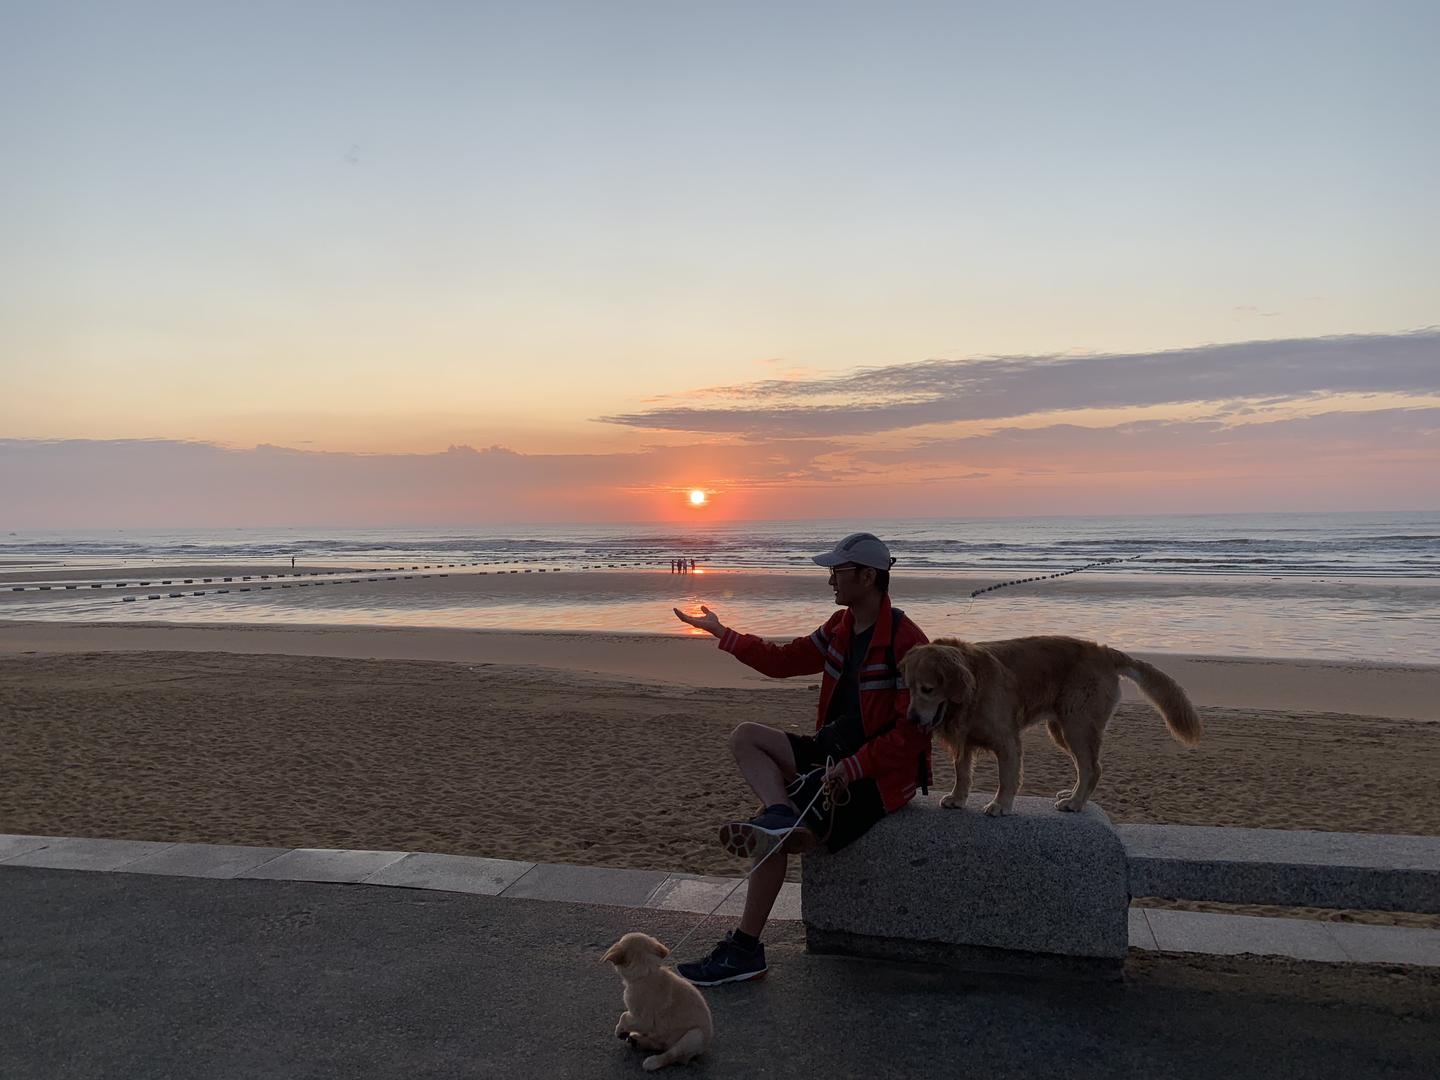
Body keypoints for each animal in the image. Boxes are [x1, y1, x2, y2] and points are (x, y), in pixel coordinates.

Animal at [604, 933, 717, 1071]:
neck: (646, 972)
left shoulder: (643, 1020)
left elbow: (624, 1015)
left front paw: (619, 1029)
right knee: (660, 1045)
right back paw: (638, 1040)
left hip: (694, 1036)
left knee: (673, 1056)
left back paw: (652, 1061)